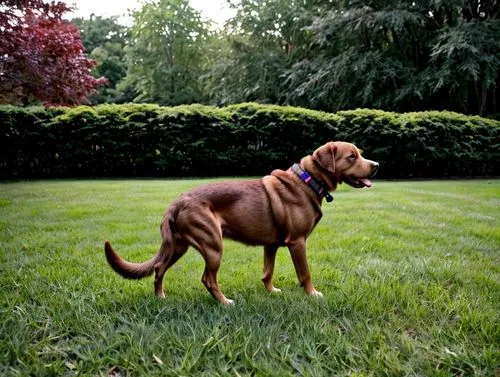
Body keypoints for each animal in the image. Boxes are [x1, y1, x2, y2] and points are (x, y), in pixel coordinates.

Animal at [104, 140, 378, 302]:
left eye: (360, 155)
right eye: (351, 157)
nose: (376, 165)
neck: (309, 180)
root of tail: (177, 201)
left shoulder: (271, 245)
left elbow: (267, 272)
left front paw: (271, 292)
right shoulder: (297, 242)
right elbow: (305, 273)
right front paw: (313, 295)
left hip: (178, 246)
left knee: (159, 269)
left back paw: (161, 297)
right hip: (213, 245)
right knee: (208, 279)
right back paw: (225, 302)